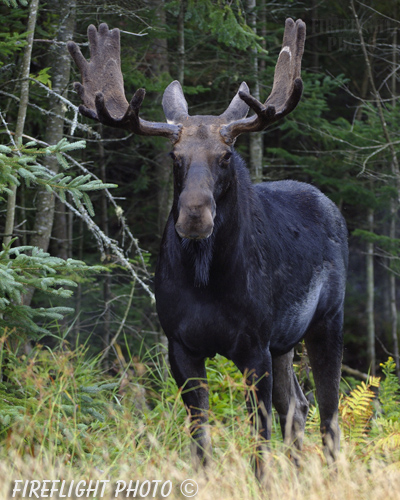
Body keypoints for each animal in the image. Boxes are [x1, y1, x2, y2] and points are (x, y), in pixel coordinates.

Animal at [68, 19, 346, 476]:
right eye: (175, 156)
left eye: (226, 155)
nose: (194, 216)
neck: (206, 282)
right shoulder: (181, 347)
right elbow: (200, 437)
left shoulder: (254, 346)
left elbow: (258, 439)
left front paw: (263, 483)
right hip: (286, 341)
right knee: (297, 406)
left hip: (327, 320)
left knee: (328, 411)